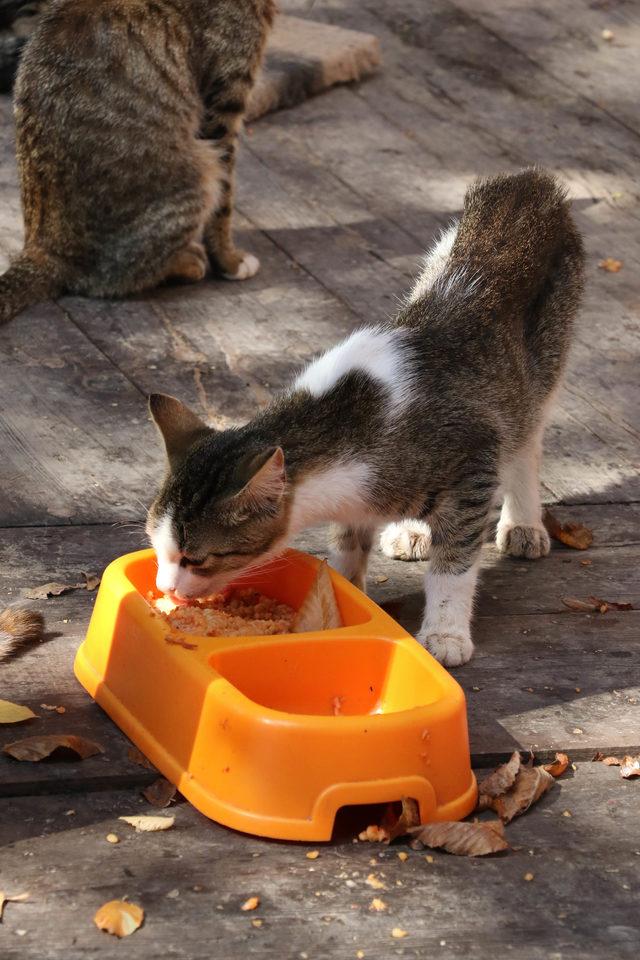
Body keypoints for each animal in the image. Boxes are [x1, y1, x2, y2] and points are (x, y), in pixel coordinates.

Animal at [0, 0, 272, 326]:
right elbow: (224, 206)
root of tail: (41, 248)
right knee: (112, 282)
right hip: (200, 172)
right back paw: (186, 261)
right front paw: (230, 261)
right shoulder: (223, 109)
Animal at [145, 169, 584, 668]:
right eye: (156, 547)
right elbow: (349, 545)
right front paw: (345, 594)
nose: (164, 588)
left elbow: (453, 563)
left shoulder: (472, 468)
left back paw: (523, 523)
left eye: (196, 560)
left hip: (537, 373)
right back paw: (413, 529)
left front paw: (445, 632)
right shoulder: (355, 496)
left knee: (526, 437)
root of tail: (525, 182)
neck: (353, 413)